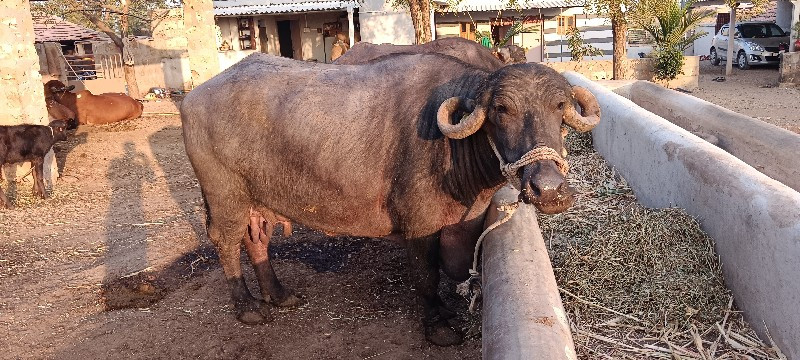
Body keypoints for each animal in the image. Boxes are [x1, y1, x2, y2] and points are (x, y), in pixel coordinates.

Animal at [178, 52, 596, 346]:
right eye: (501, 110)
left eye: (560, 107)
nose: (549, 189)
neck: (452, 152)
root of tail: (193, 98)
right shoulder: (420, 227)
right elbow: (427, 276)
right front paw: (438, 326)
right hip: (224, 197)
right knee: (226, 242)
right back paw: (248, 307)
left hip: (256, 200)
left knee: (257, 239)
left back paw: (279, 295)